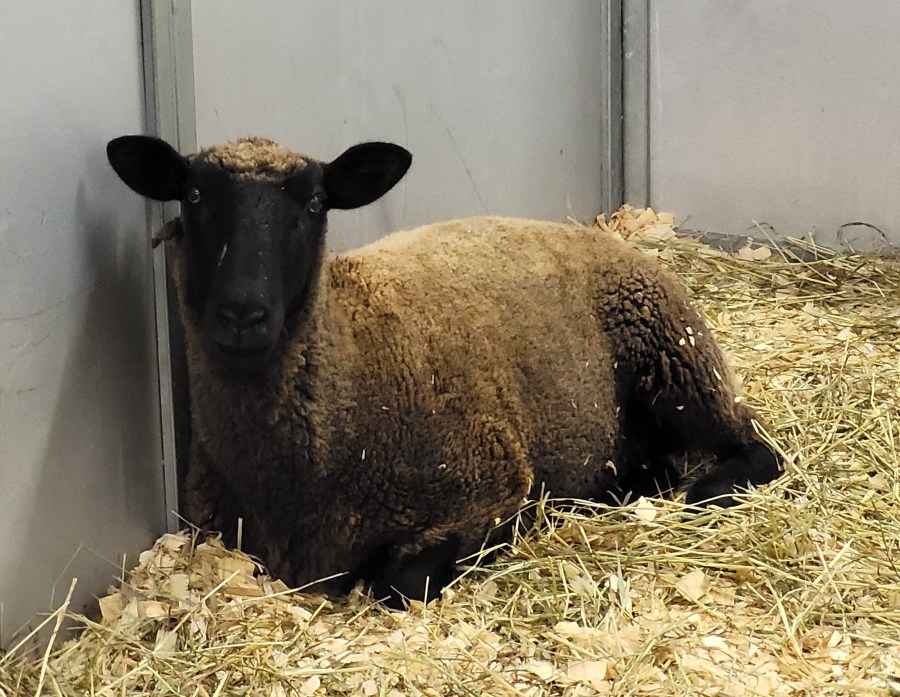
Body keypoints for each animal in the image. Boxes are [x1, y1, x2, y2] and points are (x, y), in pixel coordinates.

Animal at [106, 134, 781, 608]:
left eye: (316, 203)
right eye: (194, 197)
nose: (243, 312)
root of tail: (602, 234)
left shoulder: (490, 486)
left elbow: (400, 584)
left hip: (673, 360)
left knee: (759, 447)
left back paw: (701, 488)